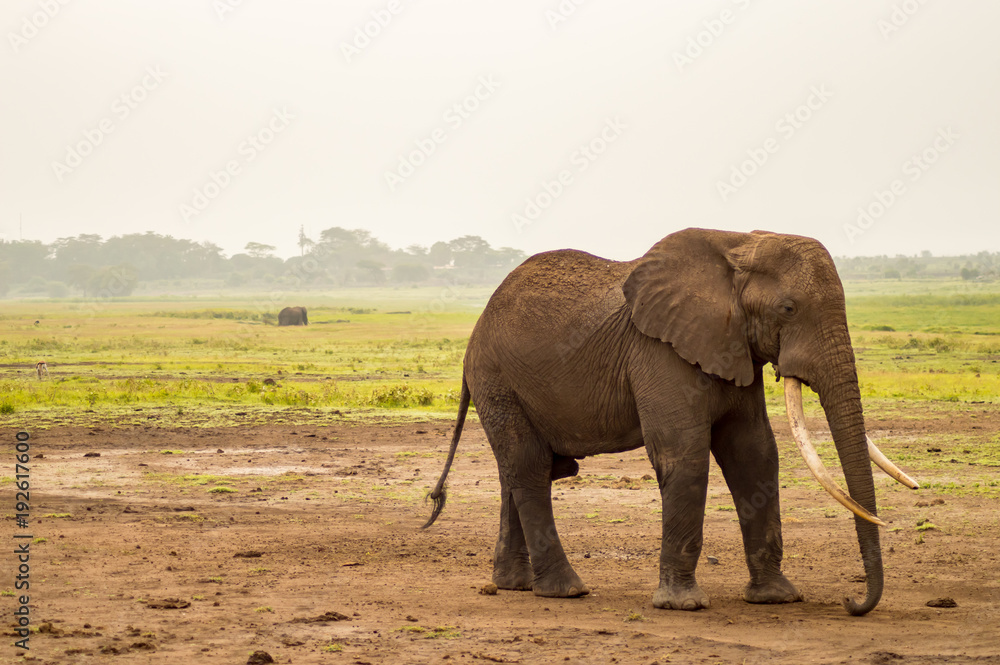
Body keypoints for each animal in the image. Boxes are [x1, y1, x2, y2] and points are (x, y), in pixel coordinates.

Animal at [423, 228, 917, 616]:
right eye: (789, 309)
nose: (852, 603)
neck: (737, 244)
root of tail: (478, 324)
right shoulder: (659, 352)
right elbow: (685, 455)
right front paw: (683, 606)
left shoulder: (731, 346)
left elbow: (755, 453)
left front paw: (776, 598)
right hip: (497, 379)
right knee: (528, 466)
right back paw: (566, 591)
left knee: (524, 468)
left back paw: (515, 585)